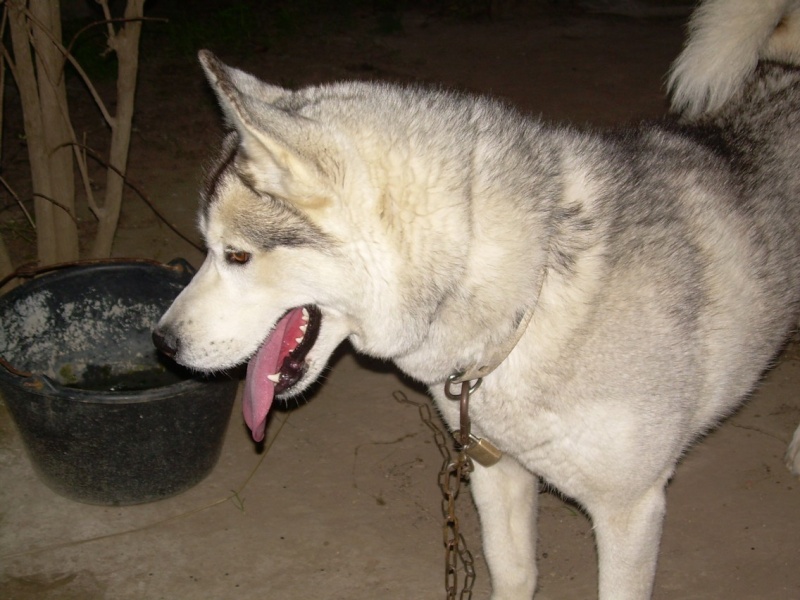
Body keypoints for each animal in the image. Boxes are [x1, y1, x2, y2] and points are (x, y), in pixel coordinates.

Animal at [153, 2, 800, 596]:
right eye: (206, 247)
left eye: (236, 256)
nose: (162, 343)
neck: (532, 296)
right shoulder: (498, 470)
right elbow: (512, 573)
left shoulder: (630, 509)